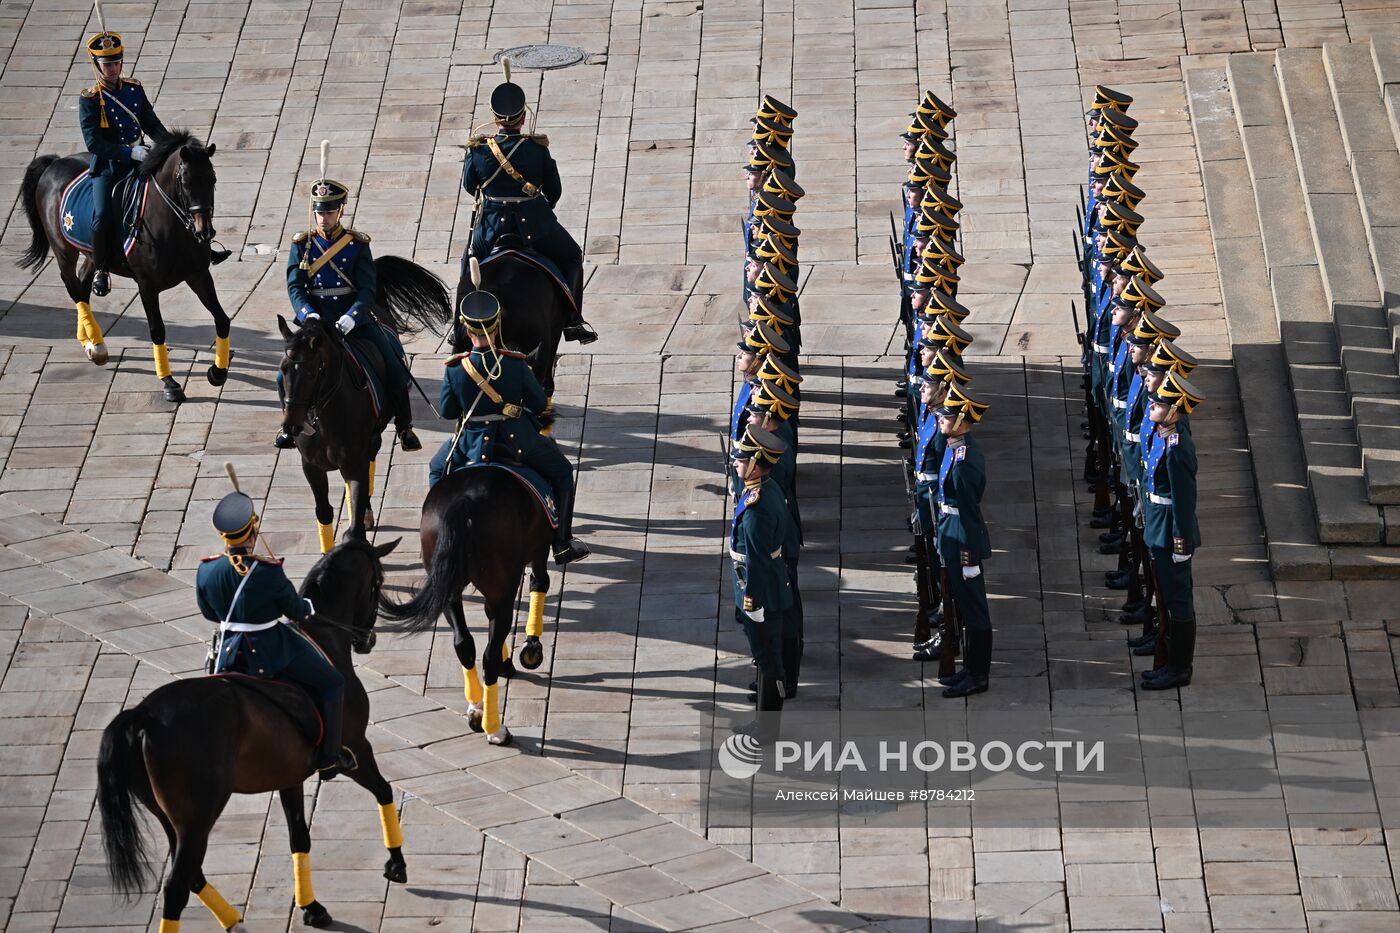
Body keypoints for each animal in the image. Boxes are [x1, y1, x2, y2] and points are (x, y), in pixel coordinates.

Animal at [19, 131, 232, 403]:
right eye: (185, 182)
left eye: (212, 179)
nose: (204, 232)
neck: (171, 225)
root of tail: (55, 163)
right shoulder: (147, 285)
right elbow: (157, 330)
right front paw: (169, 383)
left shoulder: (199, 275)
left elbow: (222, 319)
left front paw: (218, 371)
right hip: (63, 250)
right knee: (74, 287)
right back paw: (96, 345)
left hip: (92, 253)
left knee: (84, 282)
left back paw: (91, 342)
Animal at [97, 537, 406, 930]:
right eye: (378, 583)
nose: (367, 640)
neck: (322, 636)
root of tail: (143, 716)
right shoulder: (356, 748)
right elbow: (384, 790)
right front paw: (397, 863)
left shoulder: (290, 776)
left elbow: (299, 837)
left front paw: (311, 906)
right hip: (198, 819)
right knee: (178, 885)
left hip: (168, 817)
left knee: (193, 875)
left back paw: (234, 921)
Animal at [282, 254, 453, 549]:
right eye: (283, 369)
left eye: (313, 371)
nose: (293, 426)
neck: (325, 417)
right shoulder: (311, 466)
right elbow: (324, 512)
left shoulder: (354, 462)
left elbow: (355, 519)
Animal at [383, 467, 557, 745]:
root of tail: (463, 502)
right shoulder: (540, 549)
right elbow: (539, 583)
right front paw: (531, 648)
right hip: (501, 582)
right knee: (488, 655)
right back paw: (495, 729)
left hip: (448, 589)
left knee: (463, 643)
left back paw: (477, 709)